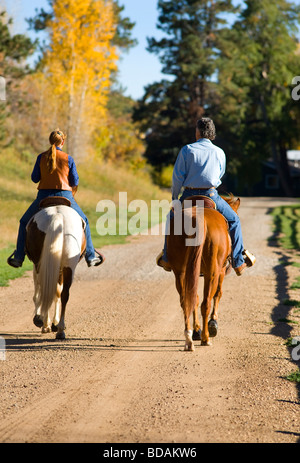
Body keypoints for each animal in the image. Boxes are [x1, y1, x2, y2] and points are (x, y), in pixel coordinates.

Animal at [24, 199, 86, 340]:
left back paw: (45, 323)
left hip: (41, 265)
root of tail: (58, 216)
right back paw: (60, 330)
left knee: (46, 290)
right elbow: (57, 293)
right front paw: (54, 323)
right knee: (64, 294)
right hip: (68, 266)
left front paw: (46, 322)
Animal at [166, 195, 239, 352]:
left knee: (186, 301)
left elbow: (194, 298)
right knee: (206, 303)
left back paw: (189, 339)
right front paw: (213, 323)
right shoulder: (220, 271)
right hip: (212, 272)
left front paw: (196, 330)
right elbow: (218, 294)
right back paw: (206, 337)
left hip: (180, 272)